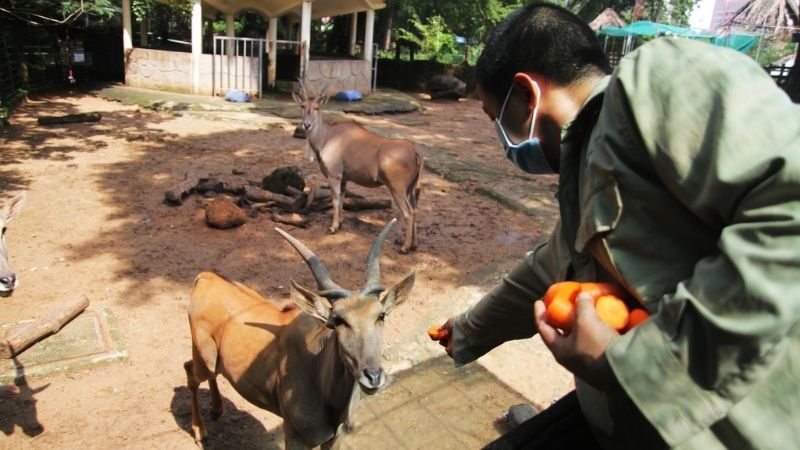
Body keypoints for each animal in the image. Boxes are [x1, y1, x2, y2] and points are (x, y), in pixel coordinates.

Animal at [184, 220, 416, 448]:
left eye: (381, 316)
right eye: (338, 321)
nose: (373, 376)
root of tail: (205, 278)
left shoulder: (334, 438)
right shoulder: (294, 435)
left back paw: (216, 408)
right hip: (204, 358)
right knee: (190, 371)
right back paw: (200, 432)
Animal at [290, 80, 422, 253]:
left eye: (317, 108)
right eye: (303, 106)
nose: (306, 125)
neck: (328, 136)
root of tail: (415, 151)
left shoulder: (334, 176)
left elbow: (335, 200)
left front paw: (333, 227)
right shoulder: (344, 179)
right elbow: (342, 199)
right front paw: (340, 223)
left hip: (397, 188)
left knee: (408, 212)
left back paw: (405, 247)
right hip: (410, 189)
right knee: (415, 209)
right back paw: (414, 244)